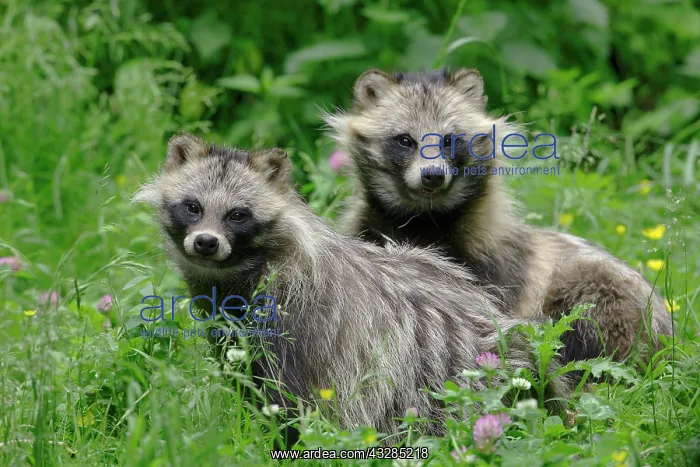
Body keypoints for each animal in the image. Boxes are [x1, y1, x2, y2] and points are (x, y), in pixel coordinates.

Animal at [133, 134, 570, 439]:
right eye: (193, 207)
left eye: (238, 215)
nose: (206, 242)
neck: (244, 272)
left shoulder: (299, 326)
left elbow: (288, 402)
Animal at [324, 68, 673, 364]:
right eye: (405, 140)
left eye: (449, 140)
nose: (433, 176)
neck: (423, 218)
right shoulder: (370, 233)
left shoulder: (494, 264)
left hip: (609, 294)